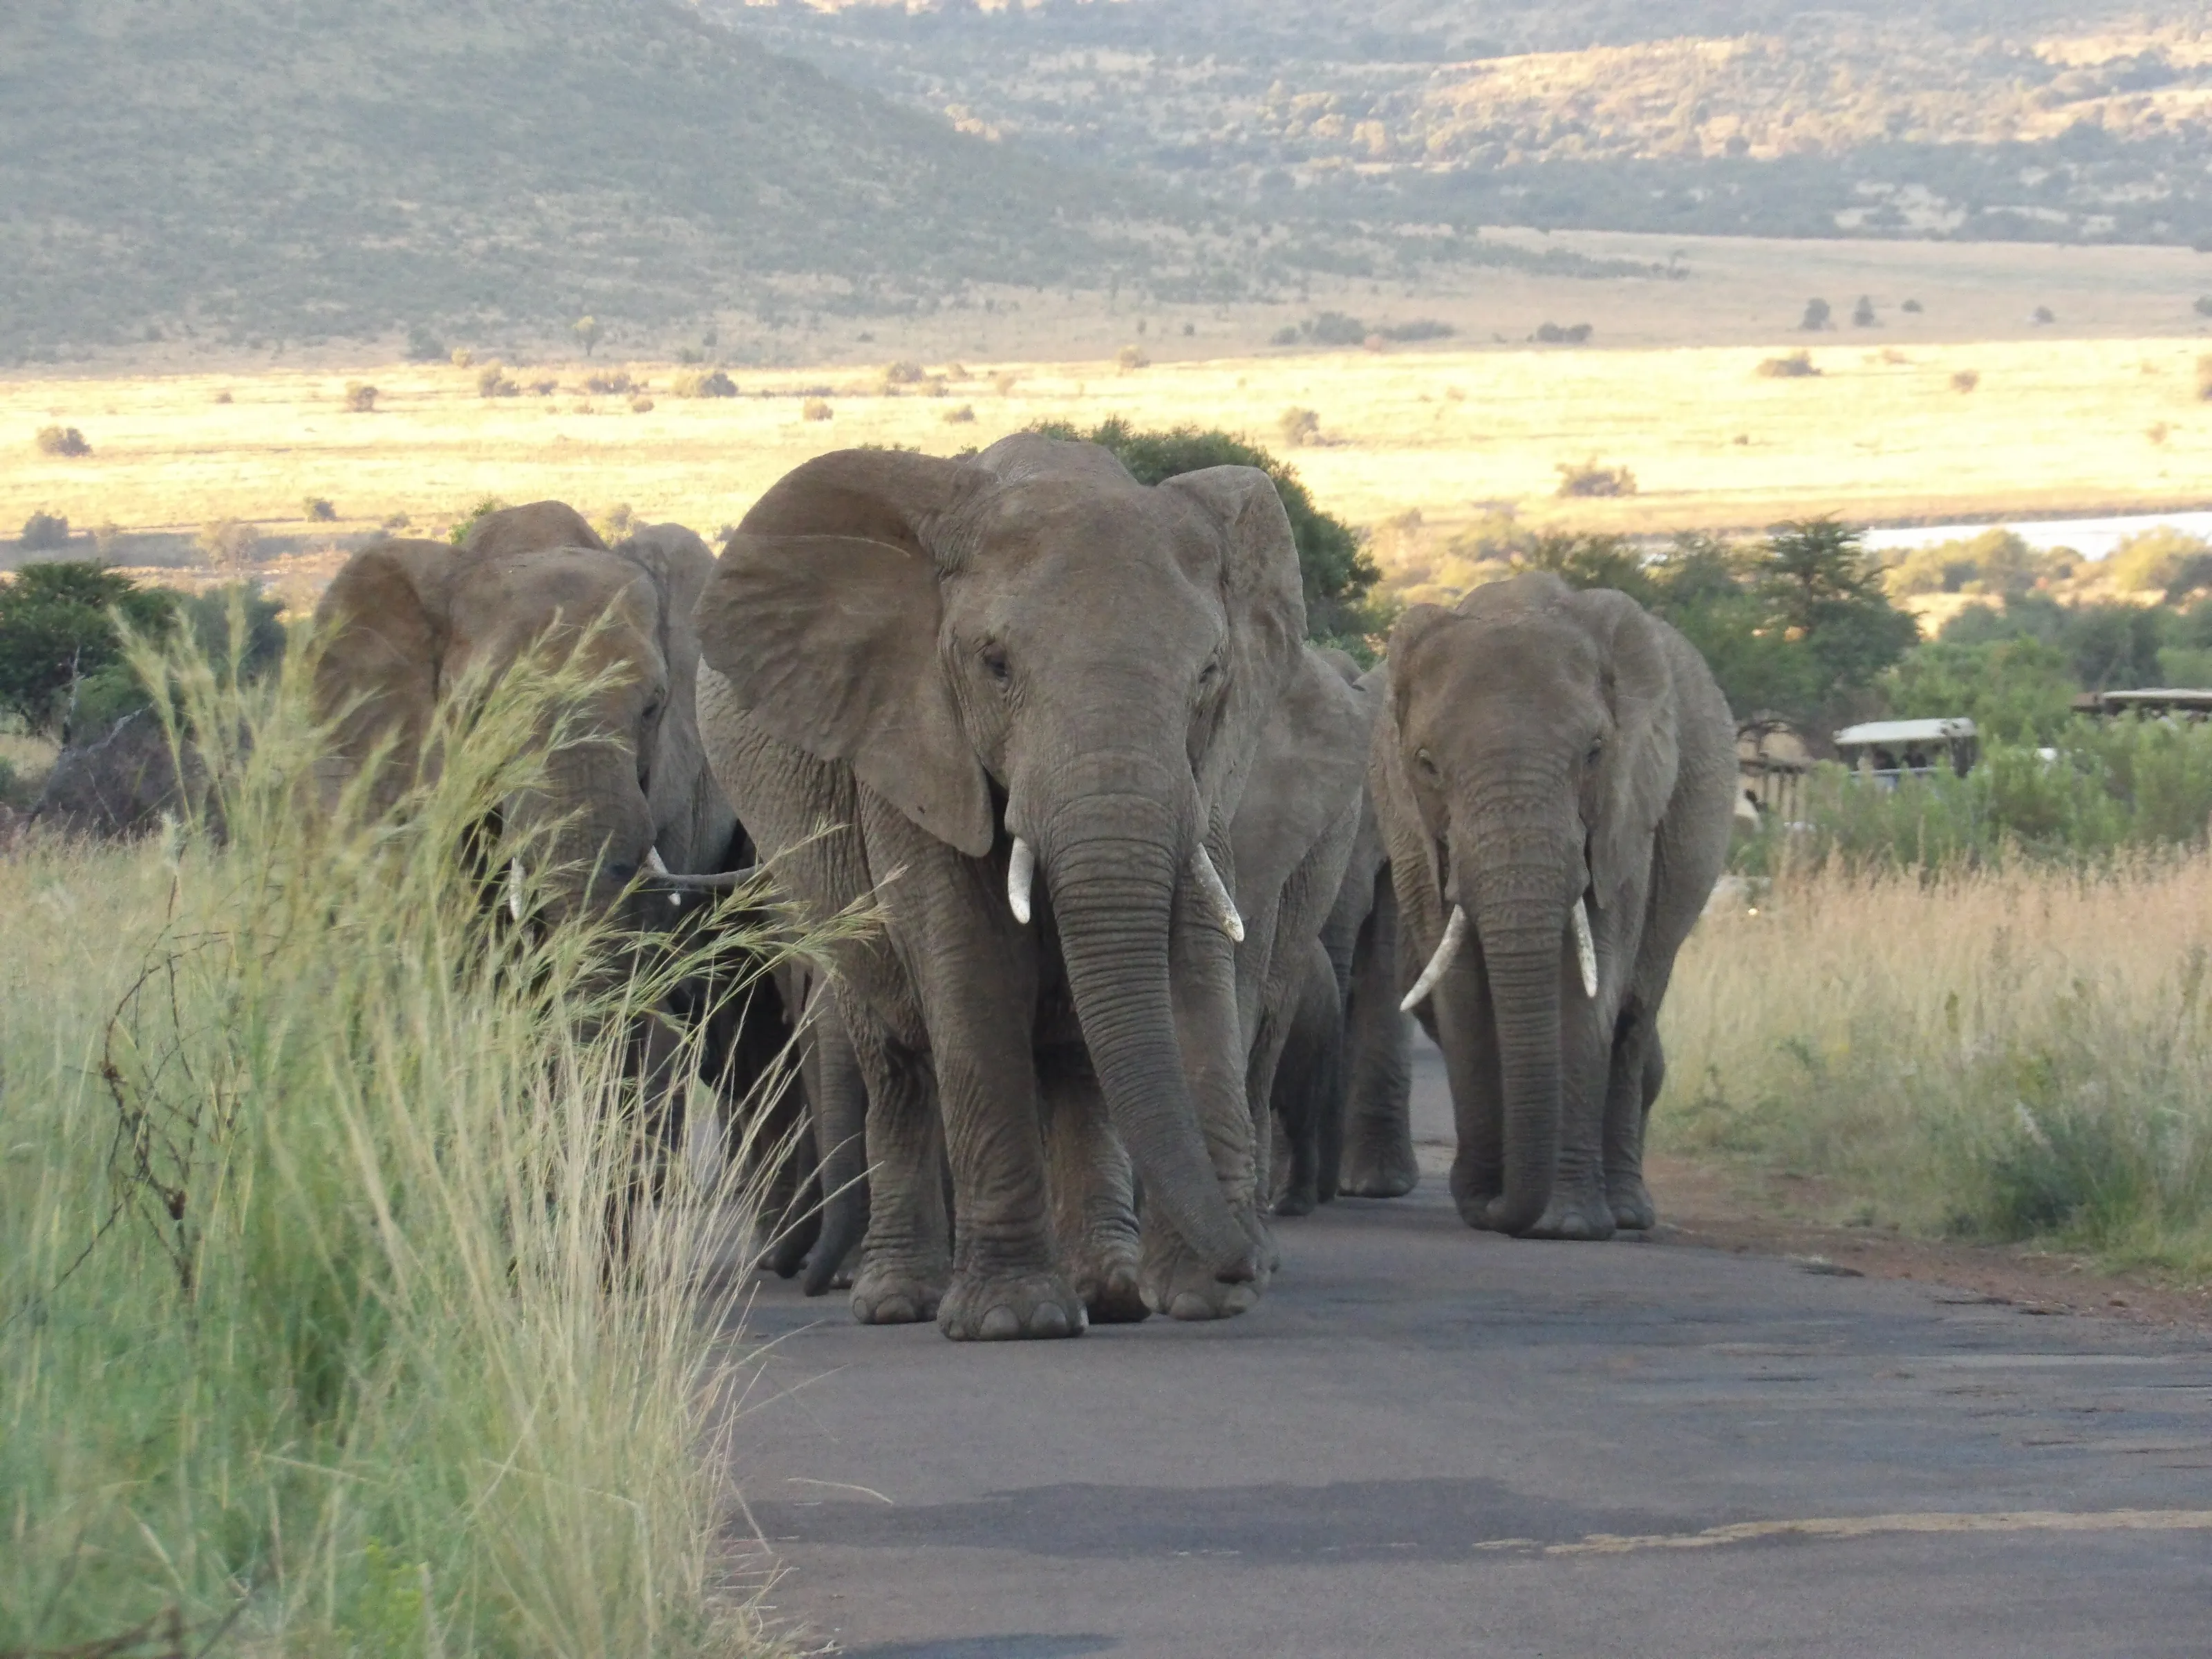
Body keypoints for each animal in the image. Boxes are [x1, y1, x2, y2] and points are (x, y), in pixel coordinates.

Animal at [692, 434, 1308, 1340]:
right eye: (994, 665)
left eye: (1209, 672)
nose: (1249, 1260)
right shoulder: (913, 741)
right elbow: (972, 969)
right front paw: (1013, 1321)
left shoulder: (1204, 779)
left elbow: (1190, 970)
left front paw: (1203, 1300)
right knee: (896, 1062)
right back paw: (898, 1302)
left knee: (1075, 1061)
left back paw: (1110, 1294)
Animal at [1371, 572, 1735, 1240]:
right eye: (1426, 764)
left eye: (1594, 753)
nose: (1489, 1206)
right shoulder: (1411, 826)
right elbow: (1461, 991)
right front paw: (1487, 1204)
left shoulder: (1625, 816)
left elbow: (1593, 984)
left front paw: (1565, 1225)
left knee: (1634, 1016)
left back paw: (1627, 1213)